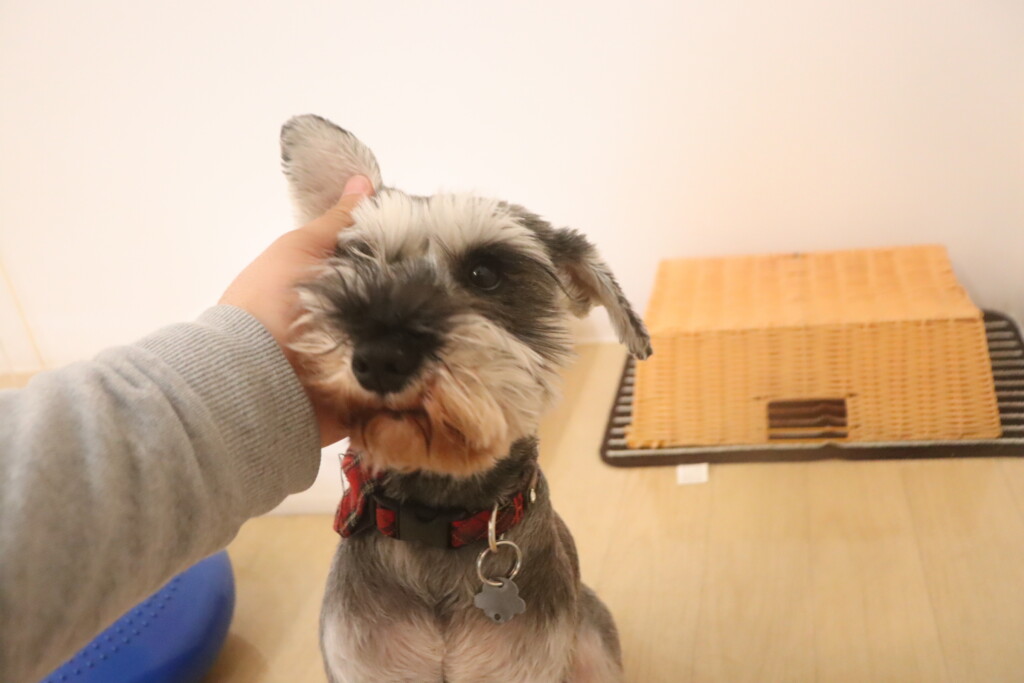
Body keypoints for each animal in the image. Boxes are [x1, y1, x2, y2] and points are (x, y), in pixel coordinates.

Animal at [281, 114, 651, 683]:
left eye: (486, 273)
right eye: (360, 259)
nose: (379, 356)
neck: (434, 517)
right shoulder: (362, 668)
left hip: (591, 640)